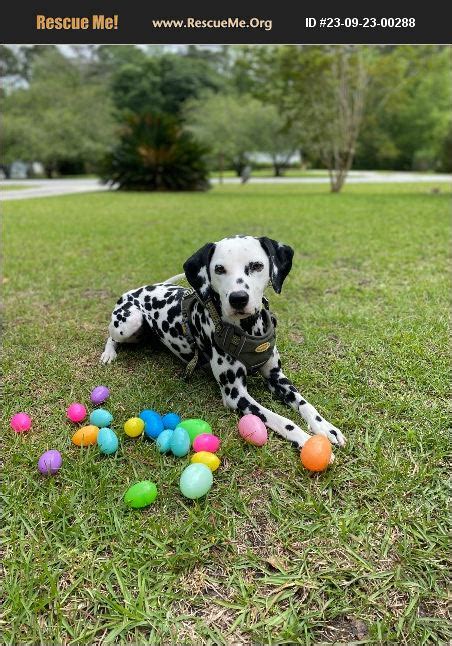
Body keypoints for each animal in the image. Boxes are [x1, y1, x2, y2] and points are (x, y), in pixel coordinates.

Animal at [100, 237, 344, 450]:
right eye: (219, 269)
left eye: (256, 266)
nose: (238, 298)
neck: (247, 329)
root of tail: (136, 290)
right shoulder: (236, 395)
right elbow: (281, 419)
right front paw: (305, 439)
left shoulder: (277, 377)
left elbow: (304, 403)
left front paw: (325, 428)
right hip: (128, 322)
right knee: (111, 335)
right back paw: (108, 353)